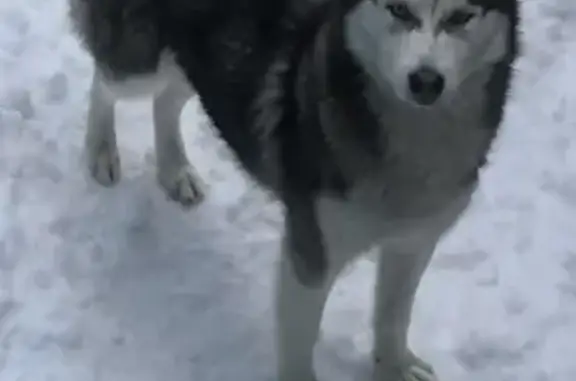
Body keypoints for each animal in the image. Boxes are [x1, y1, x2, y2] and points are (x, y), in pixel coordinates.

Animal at [70, 0, 520, 378]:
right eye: (399, 10)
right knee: (105, 82)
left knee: (166, 99)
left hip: (202, 63)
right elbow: (299, 347)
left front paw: (393, 368)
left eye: (460, 17)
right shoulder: (312, 252)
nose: (425, 80)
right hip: (140, 60)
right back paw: (101, 151)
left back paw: (175, 171)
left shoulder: (415, 241)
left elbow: (393, 316)